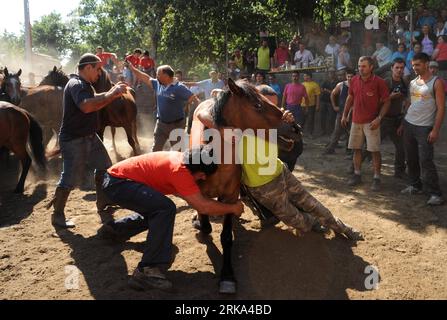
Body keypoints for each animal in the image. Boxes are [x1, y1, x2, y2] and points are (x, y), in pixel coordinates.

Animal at [190, 79, 284, 294]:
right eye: (258, 105)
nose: (294, 126)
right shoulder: (200, 195)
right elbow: (206, 224)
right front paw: (199, 222)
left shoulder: (230, 197)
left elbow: (225, 237)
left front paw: (227, 276)